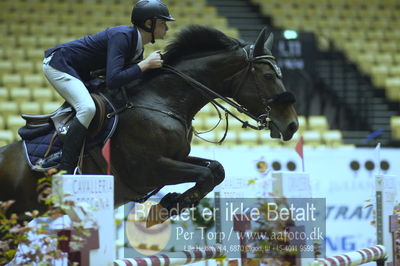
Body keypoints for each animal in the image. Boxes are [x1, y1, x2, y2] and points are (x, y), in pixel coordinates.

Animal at [0, 26, 296, 222]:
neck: (163, 101)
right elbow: (205, 174)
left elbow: (216, 169)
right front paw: (170, 205)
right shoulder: (149, 169)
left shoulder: (177, 157)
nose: (292, 125)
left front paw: (174, 203)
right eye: (269, 76)